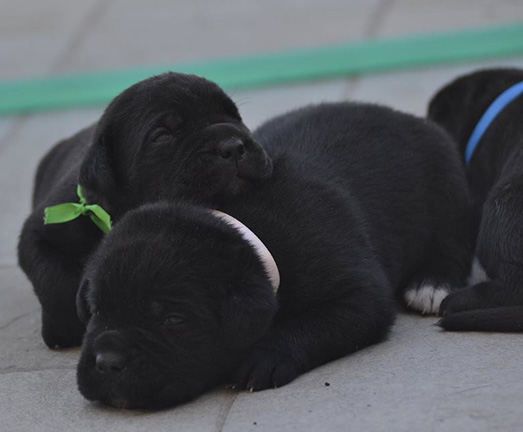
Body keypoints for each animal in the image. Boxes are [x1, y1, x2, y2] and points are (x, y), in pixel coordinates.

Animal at [18, 72, 272, 350]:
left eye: (234, 117)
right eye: (162, 135)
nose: (234, 145)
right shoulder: (40, 229)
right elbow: (52, 280)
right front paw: (61, 328)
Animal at [75, 101, 472, 408]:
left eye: (173, 319)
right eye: (95, 310)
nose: (107, 363)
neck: (249, 230)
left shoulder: (359, 294)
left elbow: (313, 323)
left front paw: (265, 356)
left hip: (448, 186)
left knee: (452, 241)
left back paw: (432, 283)